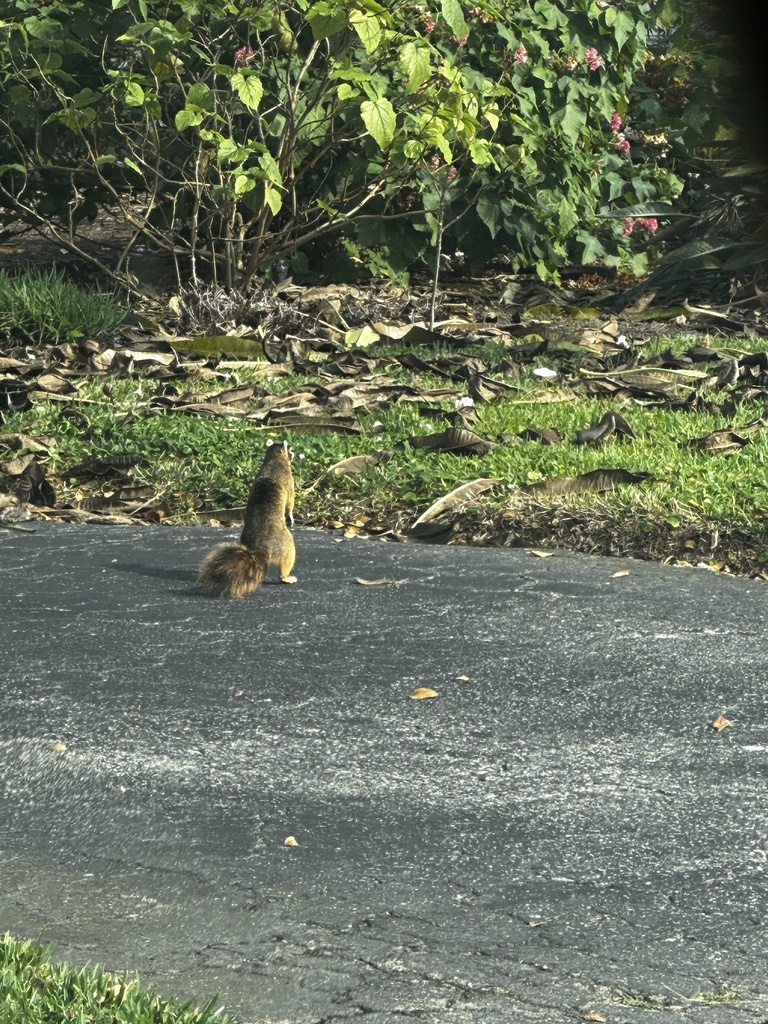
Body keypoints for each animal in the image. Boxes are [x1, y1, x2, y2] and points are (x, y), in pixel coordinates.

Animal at [198, 439, 297, 598]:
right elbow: (290, 502)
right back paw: (286, 577)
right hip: (286, 544)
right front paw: (291, 516)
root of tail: (260, 549)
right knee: (287, 558)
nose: (295, 452)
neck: (274, 459)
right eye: (290, 450)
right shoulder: (288, 480)